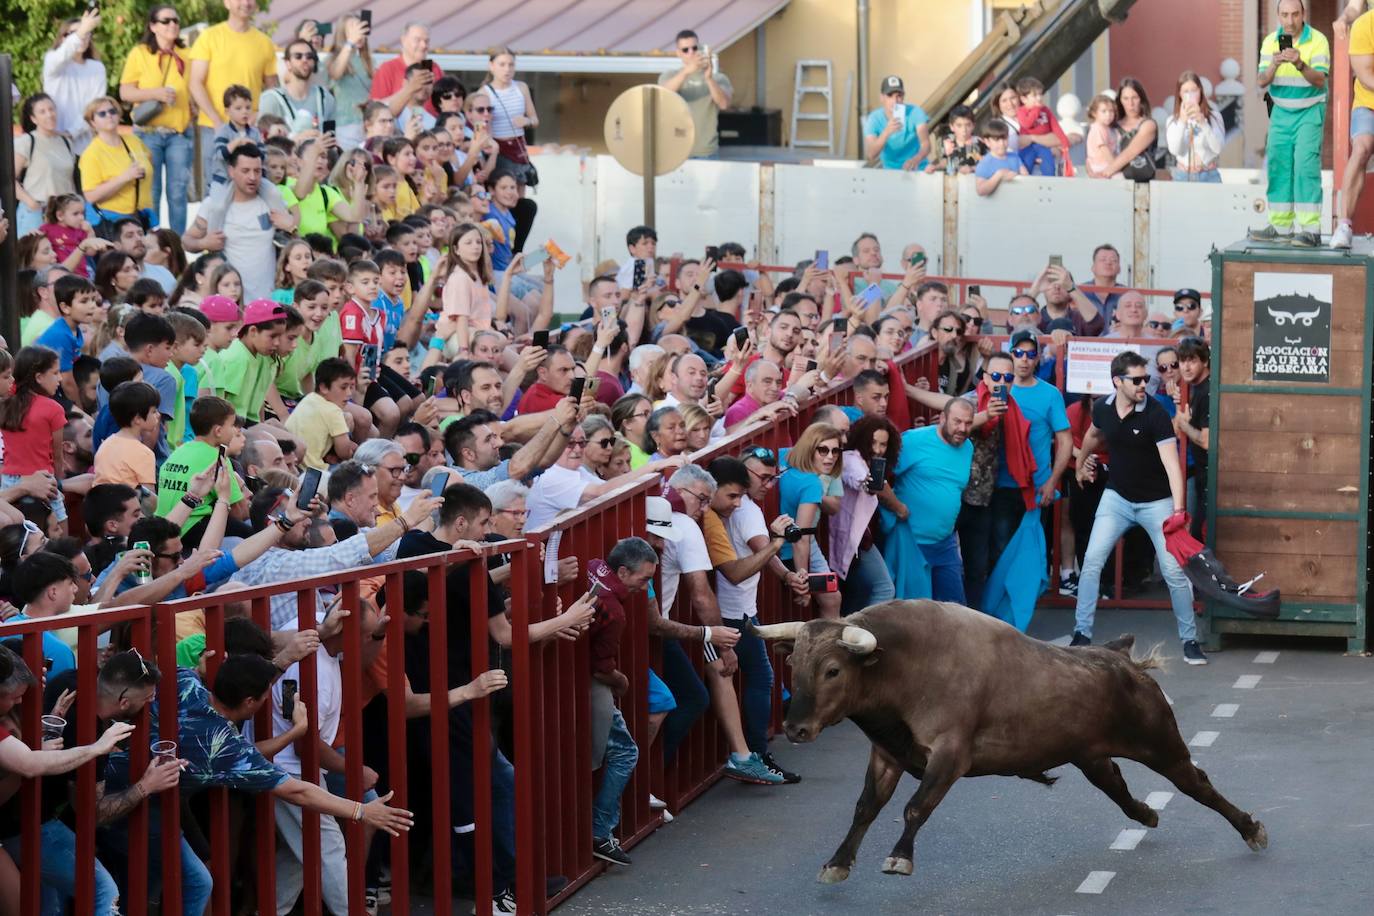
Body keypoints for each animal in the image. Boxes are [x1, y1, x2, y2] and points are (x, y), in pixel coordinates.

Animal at [752, 598, 1264, 884]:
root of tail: (1122, 660)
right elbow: (865, 809)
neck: (904, 664)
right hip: (1091, 756)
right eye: (792, 664)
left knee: (1197, 783)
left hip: (1161, 744)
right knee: (1117, 786)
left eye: (832, 670)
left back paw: (1250, 828)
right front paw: (838, 862)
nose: (796, 729)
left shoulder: (950, 756)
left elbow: (915, 807)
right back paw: (1147, 814)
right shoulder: (886, 755)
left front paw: (899, 857)